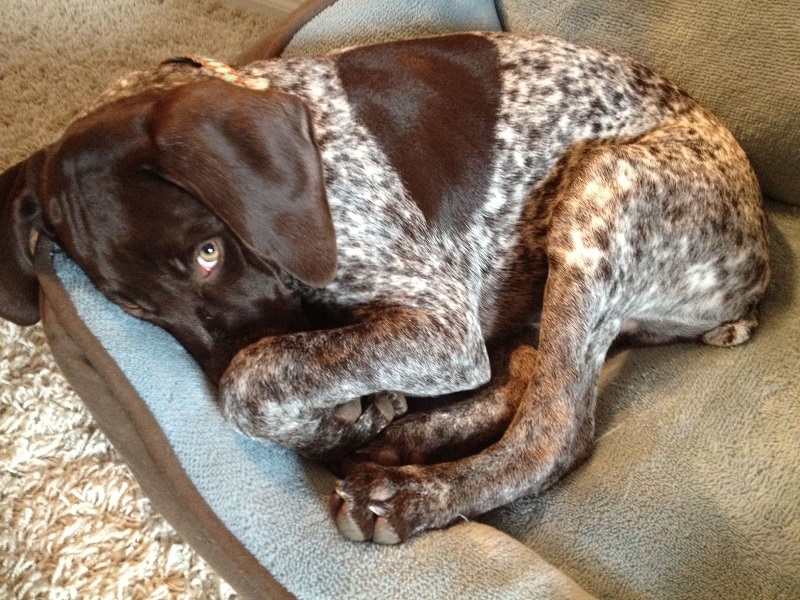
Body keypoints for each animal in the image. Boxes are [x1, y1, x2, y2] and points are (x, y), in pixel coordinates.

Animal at [0, 32, 770, 544]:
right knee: (526, 370)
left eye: (208, 254)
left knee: (555, 430)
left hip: (602, 194)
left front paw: (333, 420)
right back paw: (403, 439)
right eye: (135, 308)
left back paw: (408, 491)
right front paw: (357, 416)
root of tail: (757, 270)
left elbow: (251, 378)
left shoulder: (444, 327)